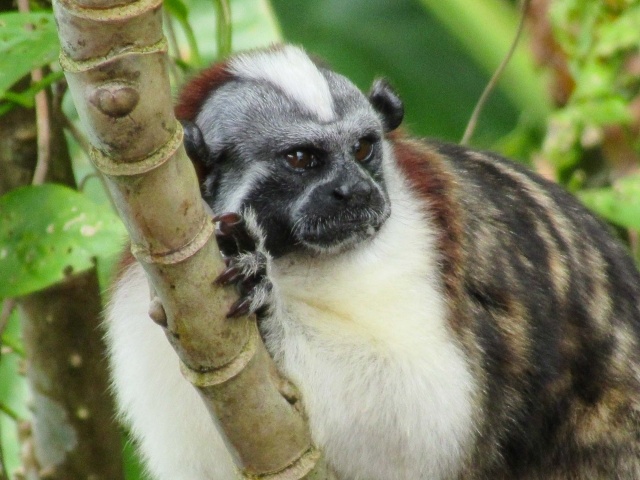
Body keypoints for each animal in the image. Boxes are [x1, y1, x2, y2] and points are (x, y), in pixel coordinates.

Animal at [107, 46, 640, 480]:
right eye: (301, 158)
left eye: (363, 149)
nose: (356, 190)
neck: (293, 259)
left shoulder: (418, 243)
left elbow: (422, 421)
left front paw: (265, 306)